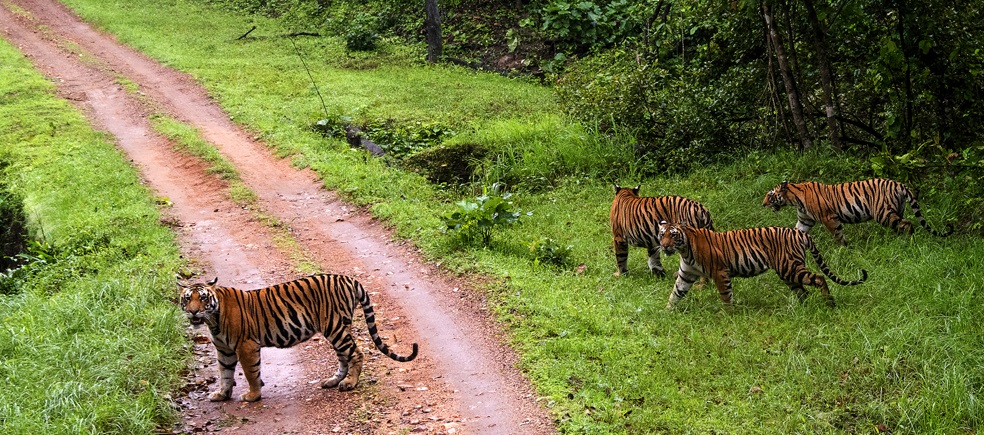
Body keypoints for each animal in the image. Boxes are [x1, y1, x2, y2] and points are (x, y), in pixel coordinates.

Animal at [179, 274, 418, 404]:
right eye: (187, 299)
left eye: (203, 298)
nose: (193, 312)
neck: (213, 320)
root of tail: (348, 278)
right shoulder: (224, 350)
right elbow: (225, 373)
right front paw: (222, 394)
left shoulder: (246, 346)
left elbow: (250, 373)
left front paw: (253, 395)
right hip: (338, 329)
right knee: (344, 356)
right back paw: (333, 381)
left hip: (335, 326)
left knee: (356, 354)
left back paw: (350, 383)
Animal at [656, 221, 864, 310]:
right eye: (661, 234)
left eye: (673, 235)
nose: (664, 246)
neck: (684, 250)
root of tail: (800, 233)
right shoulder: (686, 274)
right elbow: (675, 294)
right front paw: (666, 312)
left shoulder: (720, 272)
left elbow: (726, 296)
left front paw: (728, 315)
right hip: (788, 272)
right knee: (803, 291)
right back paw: (802, 309)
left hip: (790, 267)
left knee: (819, 278)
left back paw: (830, 305)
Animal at [760, 178, 952, 245]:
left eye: (770, 195)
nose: (762, 204)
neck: (795, 199)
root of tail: (898, 183)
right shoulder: (805, 220)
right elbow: (796, 231)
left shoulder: (829, 217)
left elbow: (838, 235)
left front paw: (844, 249)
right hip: (896, 210)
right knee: (901, 224)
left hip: (883, 213)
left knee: (907, 224)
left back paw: (909, 242)